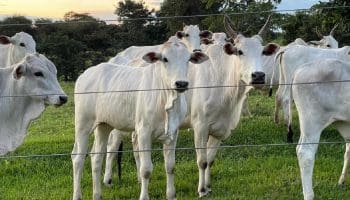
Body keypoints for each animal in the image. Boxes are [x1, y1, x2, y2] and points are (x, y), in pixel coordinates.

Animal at [71, 40, 208, 200]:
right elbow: (146, 169)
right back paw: (77, 195)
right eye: (165, 59)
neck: (167, 99)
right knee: (78, 158)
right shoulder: (143, 132)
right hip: (83, 124)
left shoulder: (173, 133)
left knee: (96, 157)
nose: (181, 83)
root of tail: (86, 73)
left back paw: (97, 194)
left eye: (188, 59)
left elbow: (170, 166)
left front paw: (171, 195)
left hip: (103, 126)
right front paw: (144, 196)